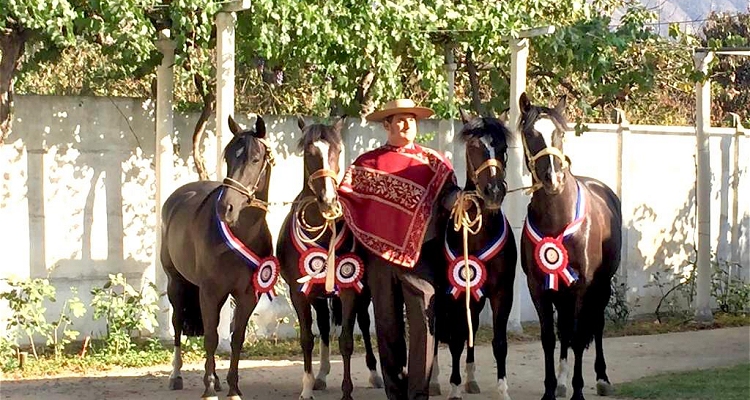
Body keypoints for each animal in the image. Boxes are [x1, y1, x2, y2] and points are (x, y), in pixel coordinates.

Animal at [160, 114, 278, 398]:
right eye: (228, 157)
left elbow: (236, 338)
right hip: (176, 283)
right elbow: (211, 338)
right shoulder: (209, 291)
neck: (242, 233)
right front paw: (207, 390)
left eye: (255, 159)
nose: (227, 208)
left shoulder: (248, 294)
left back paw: (215, 379)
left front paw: (233, 387)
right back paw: (176, 375)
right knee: (177, 324)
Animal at [274, 116, 382, 400]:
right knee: (323, 326)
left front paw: (347, 392)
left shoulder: (349, 291)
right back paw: (321, 375)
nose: (329, 200)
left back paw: (374, 374)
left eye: (338, 151)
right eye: (309, 153)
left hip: (363, 292)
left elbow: (346, 341)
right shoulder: (299, 292)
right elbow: (307, 339)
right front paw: (307, 387)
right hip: (318, 294)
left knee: (364, 323)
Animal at [432, 109, 520, 400]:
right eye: (473, 148)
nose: (494, 191)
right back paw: (435, 380)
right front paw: (454, 388)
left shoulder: (502, 293)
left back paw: (470, 379)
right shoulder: (454, 294)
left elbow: (499, 342)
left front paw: (502, 390)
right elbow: (456, 340)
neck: (477, 235)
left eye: (502, 148)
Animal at [516, 91, 624, 400]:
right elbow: (549, 338)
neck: (557, 217)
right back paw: (563, 381)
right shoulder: (539, 287)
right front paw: (550, 390)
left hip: (601, 286)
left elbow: (577, 337)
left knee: (595, 325)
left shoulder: (581, 285)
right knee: (564, 330)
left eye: (560, 133)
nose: (553, 178)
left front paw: (578, 391)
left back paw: (601, 378)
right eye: (530, 133)